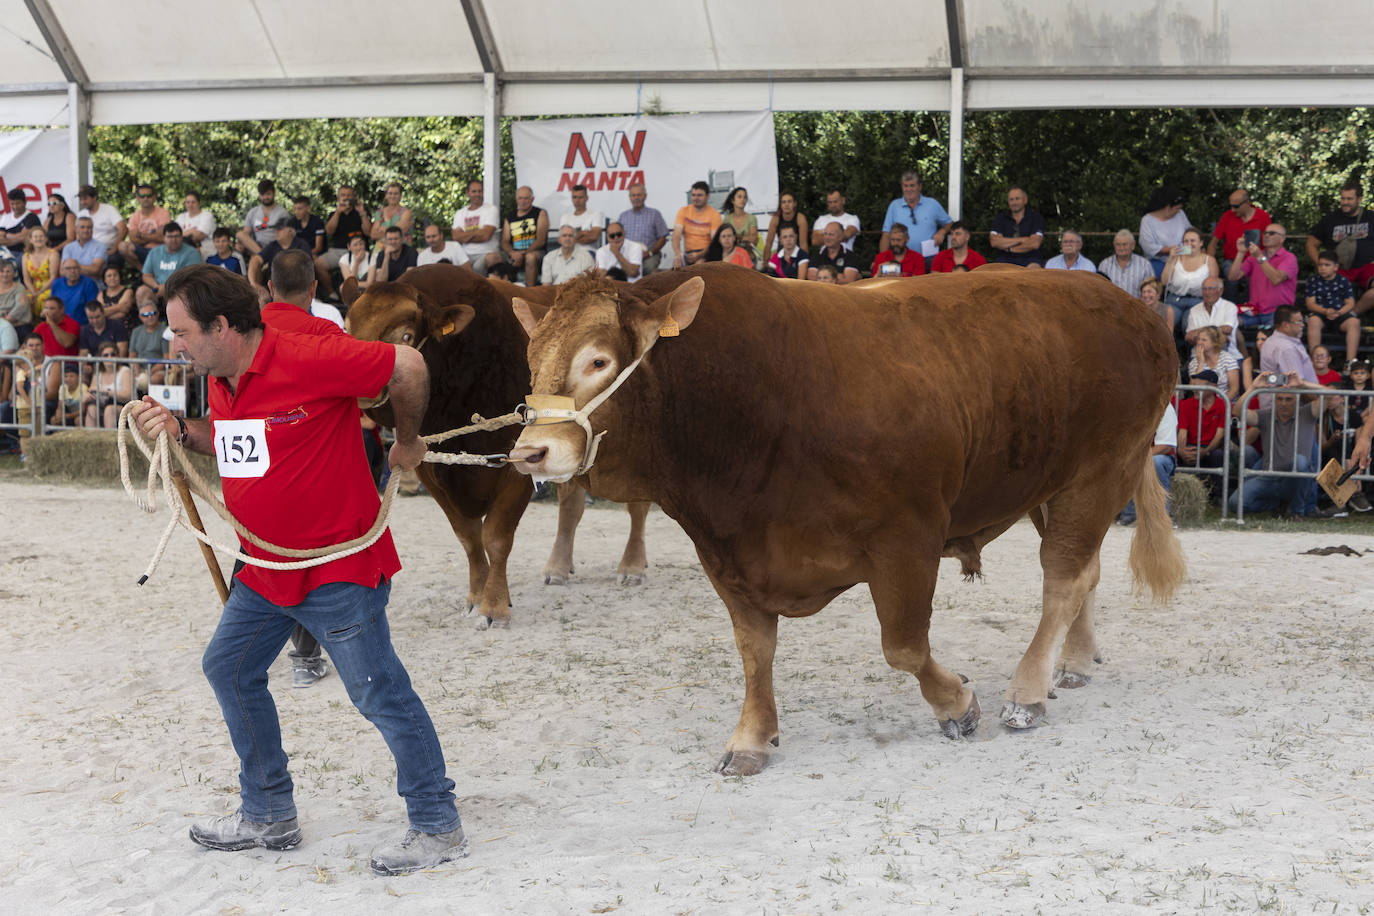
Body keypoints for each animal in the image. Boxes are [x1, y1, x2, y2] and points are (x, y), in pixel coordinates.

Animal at [340, 260, 645, 626]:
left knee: (637, 504)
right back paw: (558, 567)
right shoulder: (430, 468)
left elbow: (496, 536)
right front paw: (477, 595)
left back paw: (632, 565)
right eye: (347, 328)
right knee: (571, 504)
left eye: (406, 337)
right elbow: (469, 538)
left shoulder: (517, 466)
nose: (360, 384)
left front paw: (495, 605)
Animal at [511, 263, 1187, 774]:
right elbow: (755, 651)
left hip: (1096, 472)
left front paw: (957, 705)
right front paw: (750, 738)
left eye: (599, 361)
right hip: (1053, 486)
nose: (529, 452)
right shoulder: (728, 553)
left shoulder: (907, 539)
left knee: (1064, 580)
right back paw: (1071, 664)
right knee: (1085, 574)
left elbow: (904, 646)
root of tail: (1132, 308)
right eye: (532, 359)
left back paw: (1026, 693)